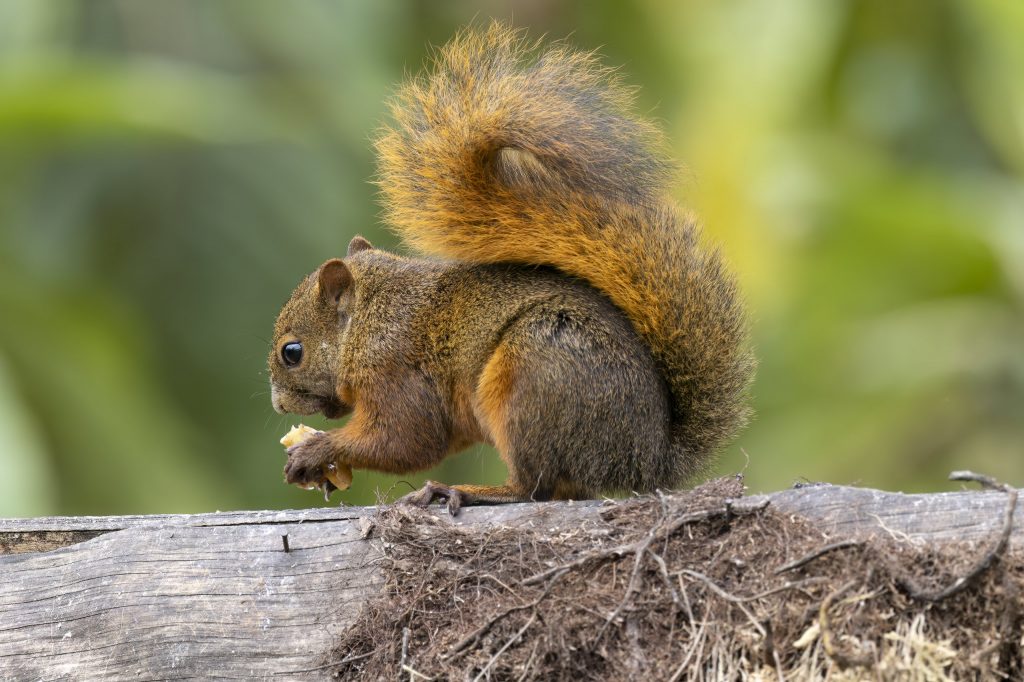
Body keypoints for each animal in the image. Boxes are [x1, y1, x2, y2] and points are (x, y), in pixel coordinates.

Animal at [269, 23, 755, 513]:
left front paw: (316, 450)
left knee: (534, 487)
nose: (277, 405)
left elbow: (407, 440)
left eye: (293, 352)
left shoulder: (394, 371)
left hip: (532, 378)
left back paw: (467, 491)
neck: (369, 320)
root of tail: (646, 458)